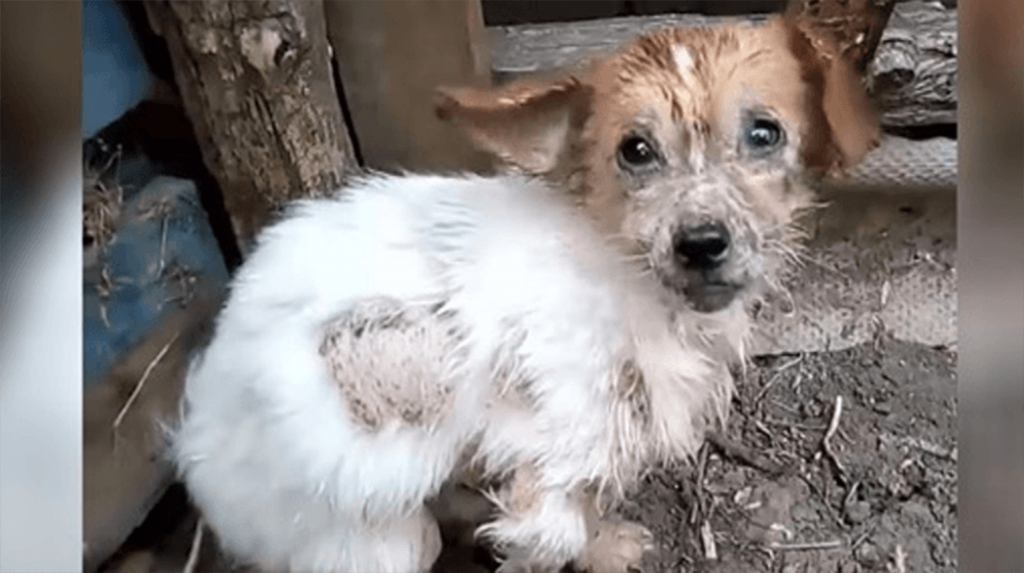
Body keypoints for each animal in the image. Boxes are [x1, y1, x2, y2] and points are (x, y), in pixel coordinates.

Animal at [172, 14, 876, 573]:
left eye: (764, 133)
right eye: (635, 149)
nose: (701, 243)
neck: (624, 276)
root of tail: (193, 435)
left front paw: (607, 547)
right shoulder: (549, 458)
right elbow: (550, 536)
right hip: (380, 540)